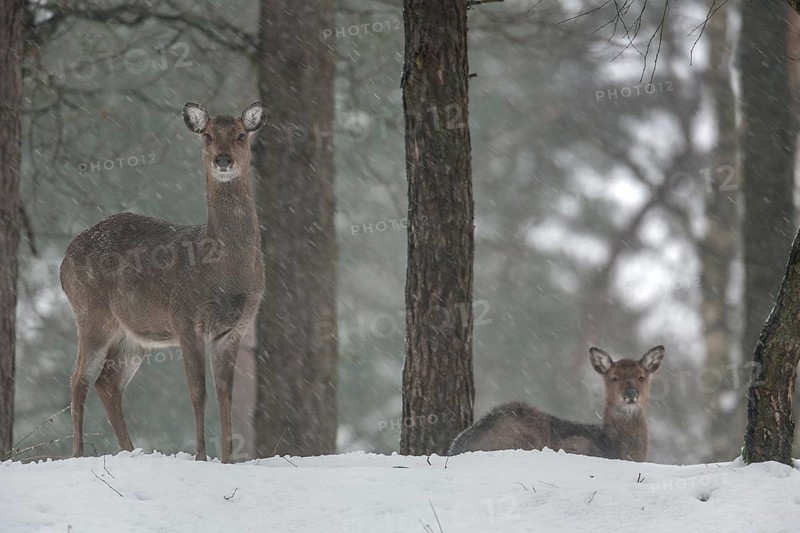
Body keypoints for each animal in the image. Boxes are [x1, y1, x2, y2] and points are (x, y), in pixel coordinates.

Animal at [60, 102, 267, 463]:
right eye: (207, 135)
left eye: (241, 135)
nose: (223, 160)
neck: (223, 272)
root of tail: (62, 262)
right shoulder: (186, 319)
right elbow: (198, 391)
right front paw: (200, 457)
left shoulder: (234, 330)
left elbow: (225, 393)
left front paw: (228, 459)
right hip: (90, 312)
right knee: (78, 378)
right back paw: (78, 453)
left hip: (134, 335)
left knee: (107, 382)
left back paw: (130, 452)